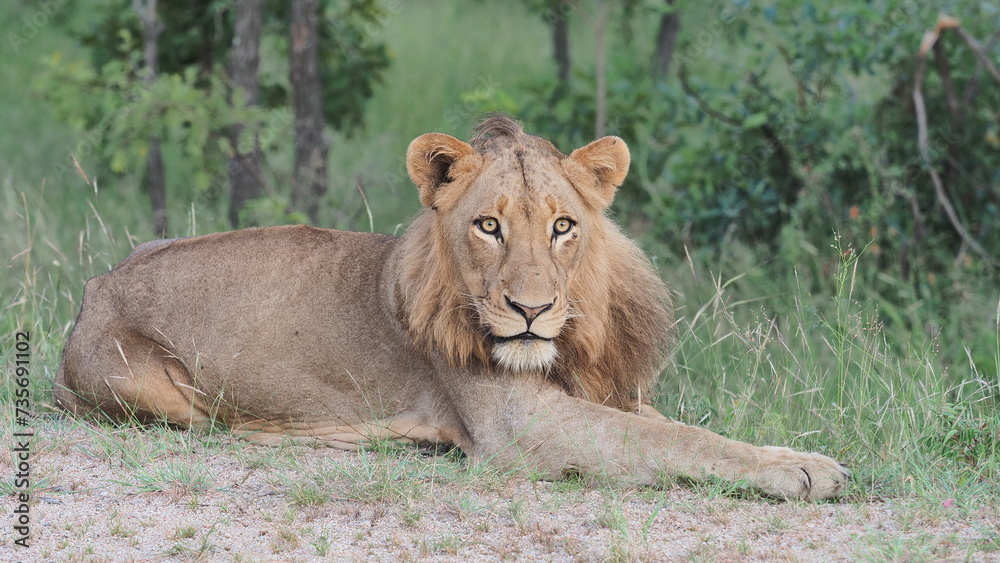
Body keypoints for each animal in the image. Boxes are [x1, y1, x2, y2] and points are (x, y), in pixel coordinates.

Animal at [56, 116, 847, 500]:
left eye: (563, 226)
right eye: (487, 225)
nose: (529, 309)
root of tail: (97, 286)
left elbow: (686, 431)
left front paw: (799, 458)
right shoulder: (520, 425)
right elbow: (677, 444)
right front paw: (804, 473)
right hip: (158, 394)